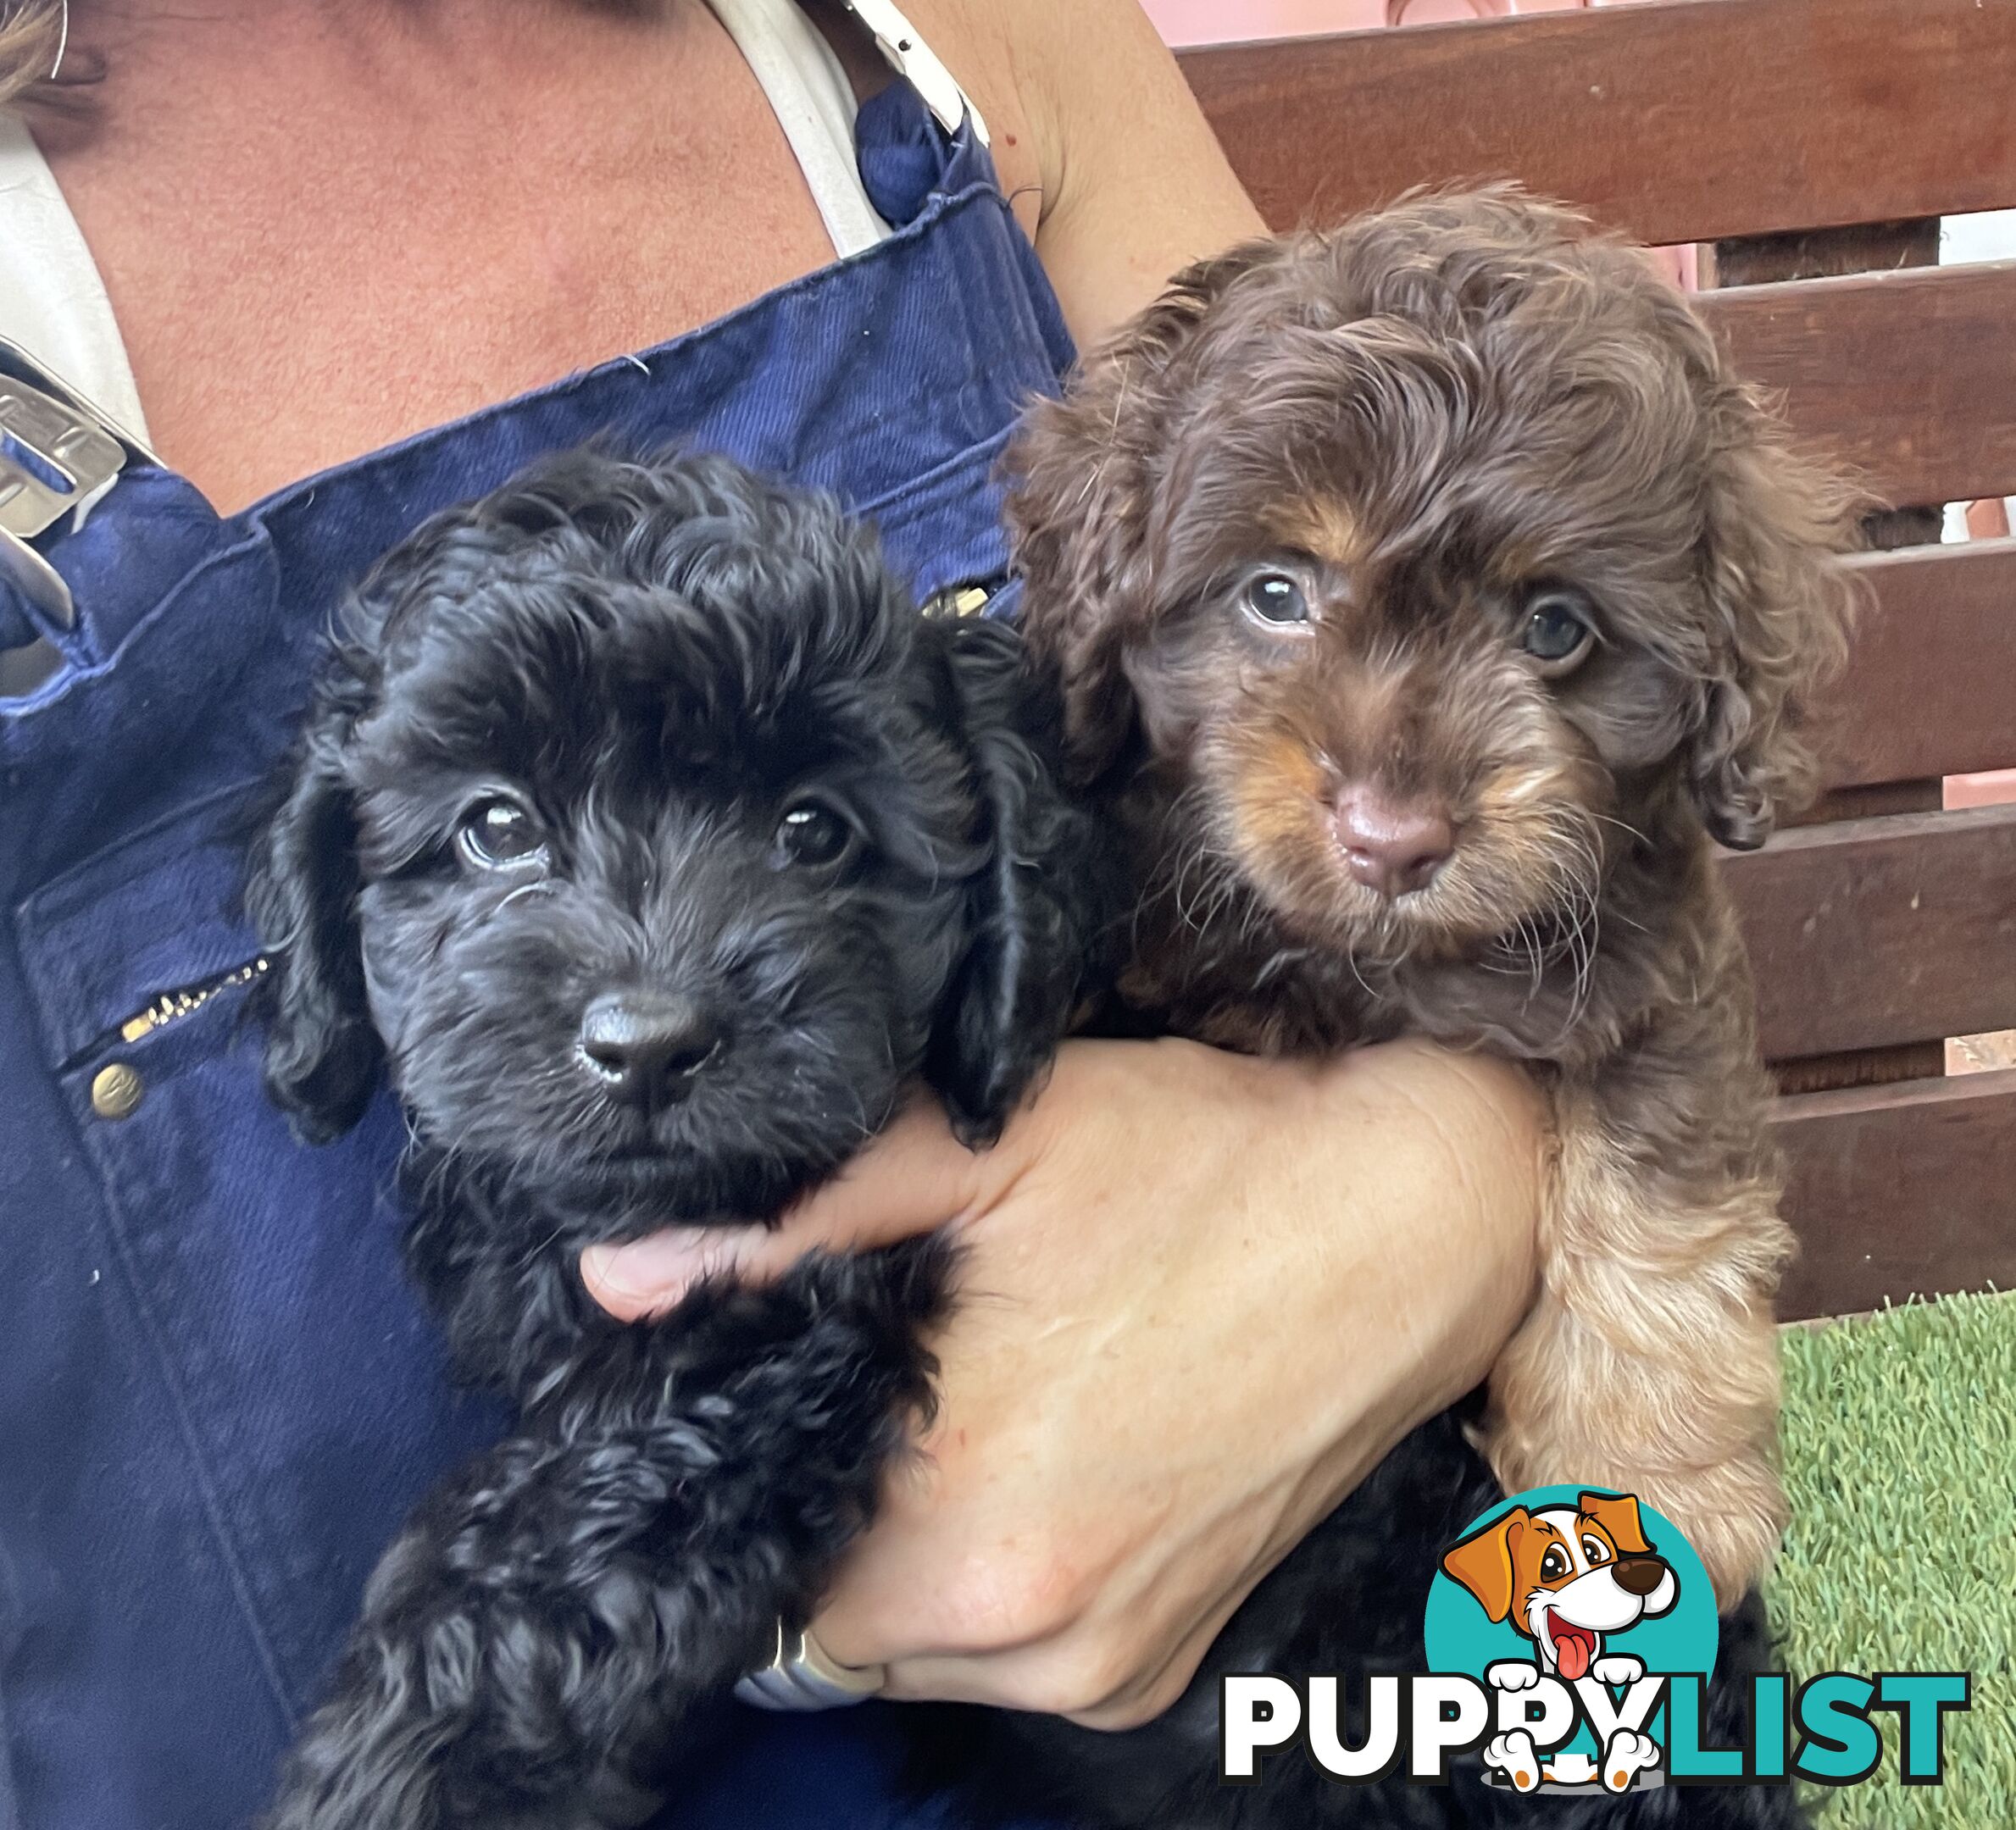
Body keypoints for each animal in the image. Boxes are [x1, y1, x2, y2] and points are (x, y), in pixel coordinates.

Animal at [247, 447, 1120, 1830]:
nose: (650, 1042)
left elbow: (545, 1560)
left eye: (814, 830)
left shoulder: (792, 1332)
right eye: (497, 828)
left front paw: (385, 1767)